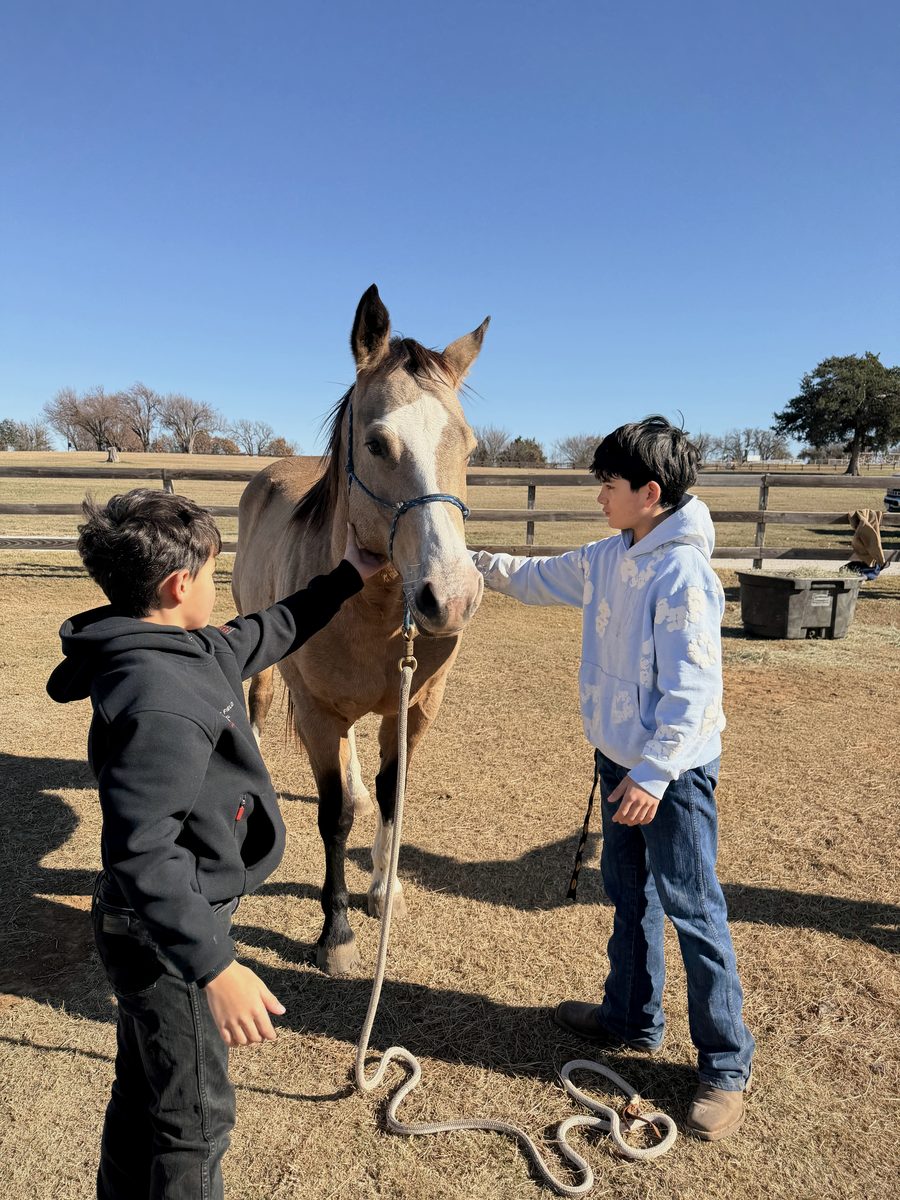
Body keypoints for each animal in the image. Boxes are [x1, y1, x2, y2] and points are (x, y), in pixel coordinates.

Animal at [232, 285, 487, 974]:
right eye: (376, 444)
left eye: (469, 447)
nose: (451, 598)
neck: (372, 610)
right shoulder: (319, 712)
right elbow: (334, 815)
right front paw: (337, 932)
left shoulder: (415, 707)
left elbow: (391, 793)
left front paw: (383, 887)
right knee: (259, 704)